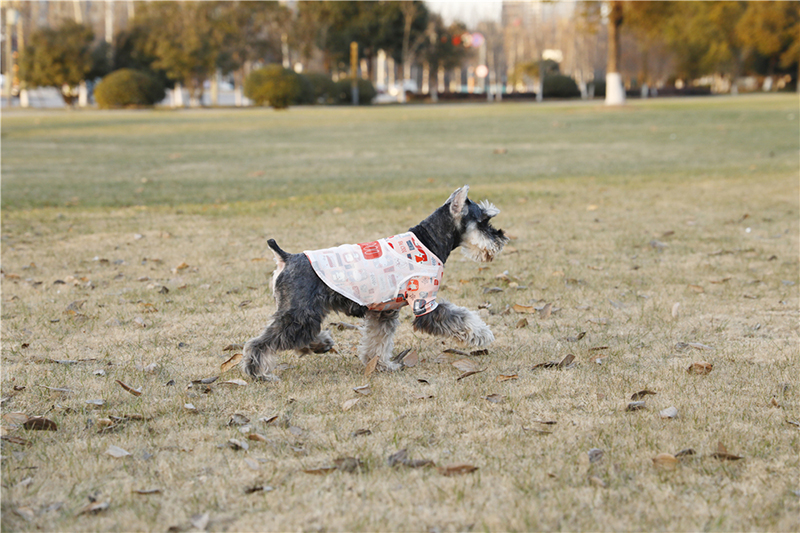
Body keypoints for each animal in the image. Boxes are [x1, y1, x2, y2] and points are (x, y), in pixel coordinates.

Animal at [242, 185, 508, 380]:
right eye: (483, 221)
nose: (502, 238)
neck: (428, 241)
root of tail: (285, 258)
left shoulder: (384, 311)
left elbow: (378, 342)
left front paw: (381, 365)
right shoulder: (425, 305)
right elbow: (459, 317)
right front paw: (482, 334)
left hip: (301, 313)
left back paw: (320, 344)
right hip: (300, 313)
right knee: (262, 342)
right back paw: (258, 373)